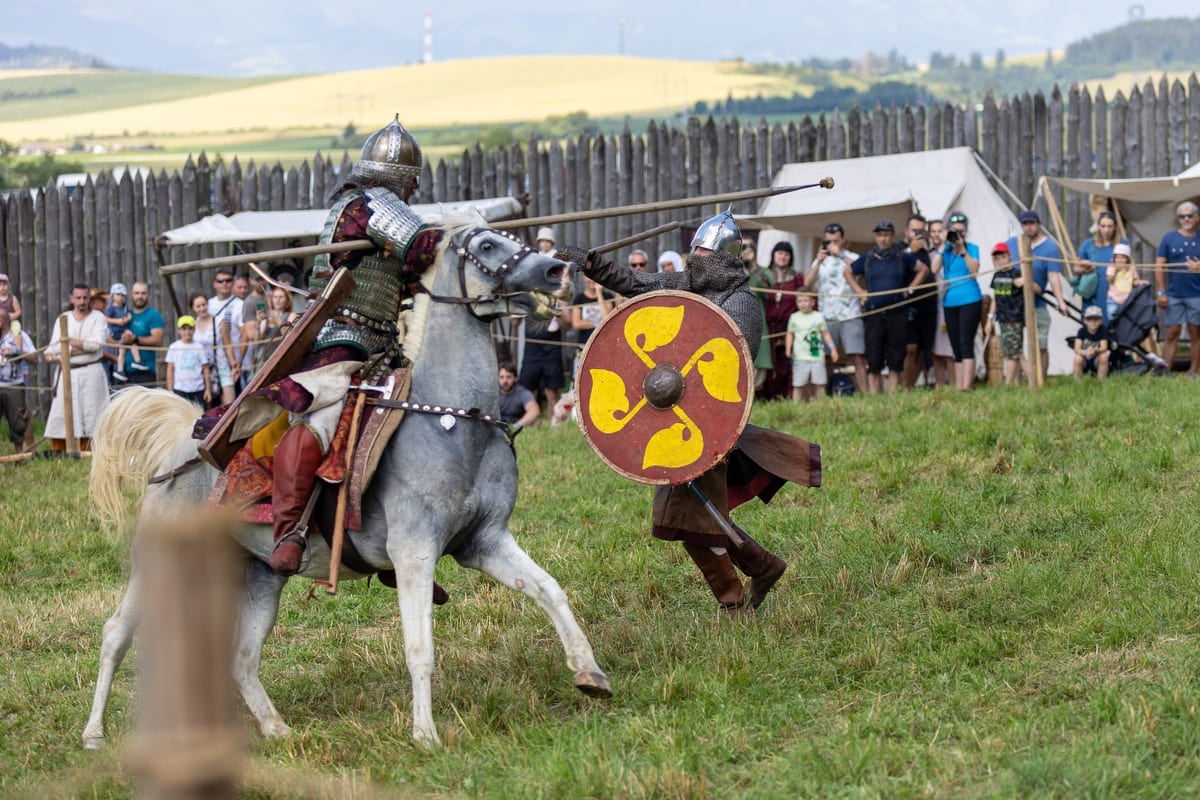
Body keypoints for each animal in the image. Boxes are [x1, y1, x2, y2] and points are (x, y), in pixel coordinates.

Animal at [83, 219, 611, 749]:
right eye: (486, 244)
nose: (557, 270)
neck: (453, 418)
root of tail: (180, 446)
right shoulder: (414, 551)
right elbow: (419, 646)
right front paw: (425, 735)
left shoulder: (484, 541)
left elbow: (549, 589)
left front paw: (590, 672)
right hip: (159, 563)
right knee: (116, 633)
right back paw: (95, 733)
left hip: (260, 574)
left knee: (241, 659)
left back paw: (277, 729)